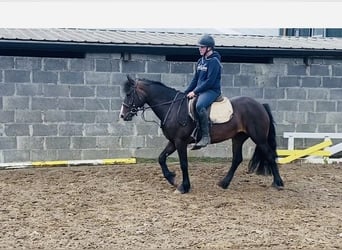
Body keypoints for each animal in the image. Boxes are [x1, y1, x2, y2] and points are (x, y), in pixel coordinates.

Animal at [119, 74, 284, 193]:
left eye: (129, 94)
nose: (122, 115)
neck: (172, 107)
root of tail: (260, 105)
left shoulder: (180, 142)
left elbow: (183, 164)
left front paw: (184, 187)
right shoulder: (173, 141)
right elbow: (161, 158)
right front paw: (172, 178)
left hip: (259, 138)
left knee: (270, 155)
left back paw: (278, 183)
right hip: (238, 138)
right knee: (237, 159)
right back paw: (224, 183)